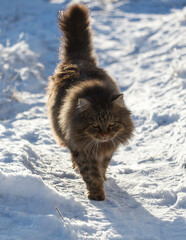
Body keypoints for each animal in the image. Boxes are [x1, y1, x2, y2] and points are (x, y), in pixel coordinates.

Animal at [46, 3, 134, 201]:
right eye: (94, 125)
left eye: (112, 123)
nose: (105, 135)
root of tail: (77, 59)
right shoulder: (82, 150)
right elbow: (91, 174)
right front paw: (96, 195)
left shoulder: (107, 150)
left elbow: (102, 168)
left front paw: (102, 179)